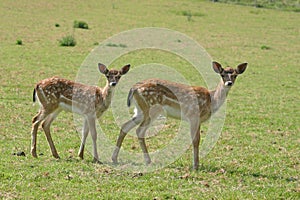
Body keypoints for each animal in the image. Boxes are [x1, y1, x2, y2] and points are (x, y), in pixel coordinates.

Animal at [111, 61, 247, 170]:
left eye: (235, 75)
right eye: (222, 74)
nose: (229, 83)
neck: (211, 100)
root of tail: (134, 89)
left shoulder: (197, 120)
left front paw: (196, 164)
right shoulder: (193, 116)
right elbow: (196, 140)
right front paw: (195, 165)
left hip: (140, 111)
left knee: (125, 126)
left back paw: (115, 159)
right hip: (152, 109)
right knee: (139, 130)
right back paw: (148, 161)